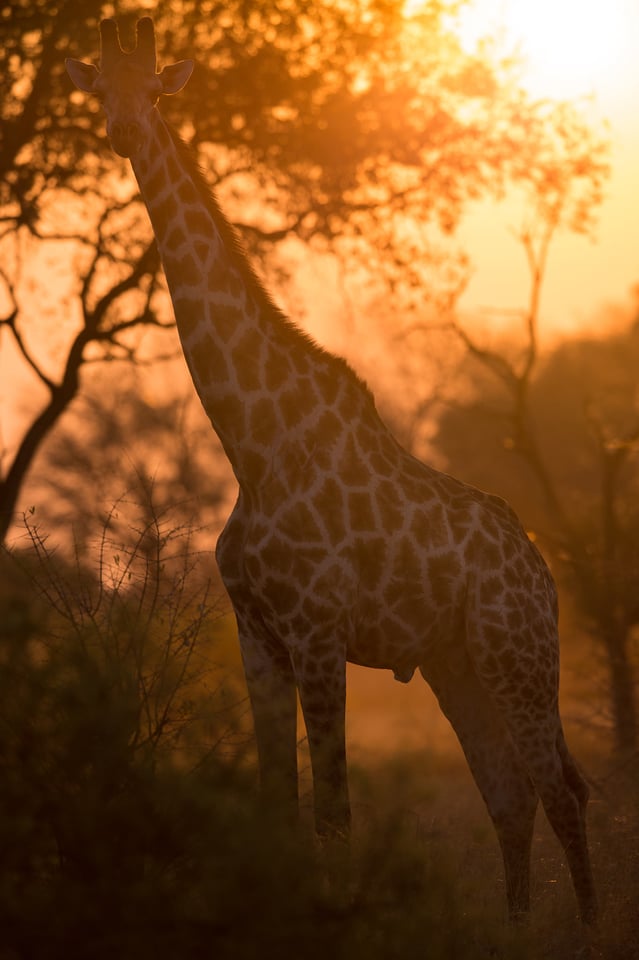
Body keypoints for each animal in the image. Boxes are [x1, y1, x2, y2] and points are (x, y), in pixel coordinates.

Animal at [67, 18, 596, 924]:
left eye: (157, 88)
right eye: (99, 86)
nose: (126, 134)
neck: (253, 444)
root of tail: (541, 571)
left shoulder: (317, 633)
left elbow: (334, 816)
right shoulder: (259, 637)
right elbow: (276, 806)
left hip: (518, 657)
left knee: (559, 789)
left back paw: (587, 930)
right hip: (457, 664)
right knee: (507, 793)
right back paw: (516, 929)